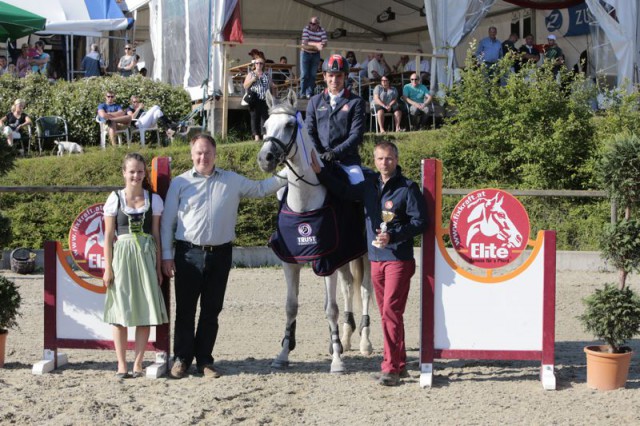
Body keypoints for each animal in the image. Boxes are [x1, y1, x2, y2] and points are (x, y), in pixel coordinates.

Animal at [258, 90, 372, 372]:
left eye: (289, 125)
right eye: (265, 126)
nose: (265, 158)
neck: (304, 200)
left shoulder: (326, 261)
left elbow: (330, 308)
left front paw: (337, 362)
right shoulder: (290, 263)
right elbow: (291, 306)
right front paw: (283, 355)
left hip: (366, 253)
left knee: (365, 289)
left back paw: (364, 343)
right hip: (345, 255)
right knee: (348, 286)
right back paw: (345, 338)